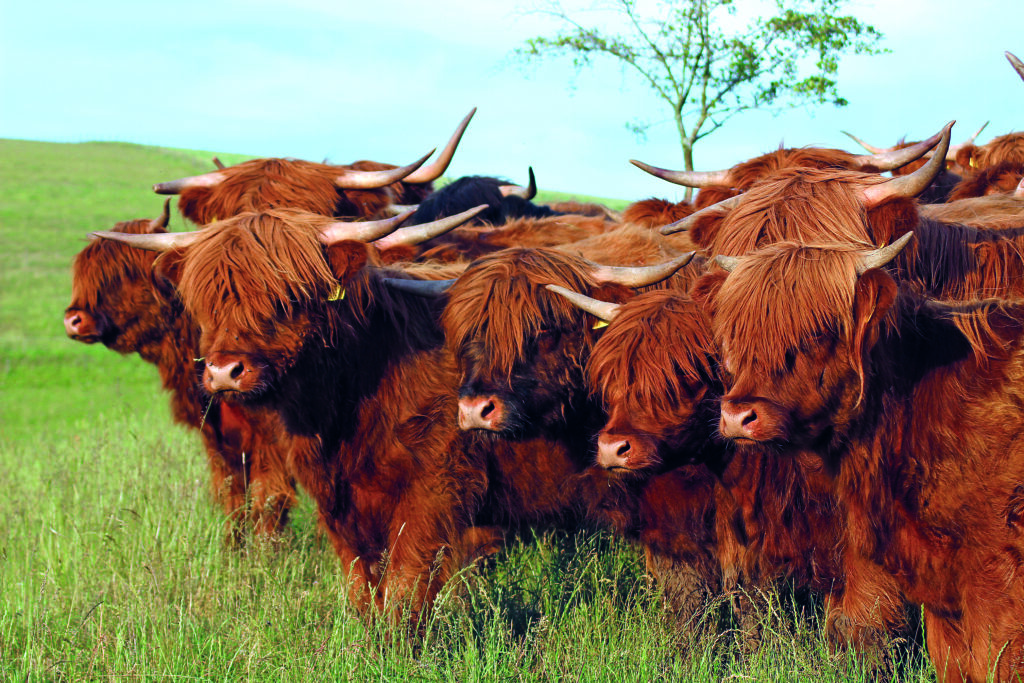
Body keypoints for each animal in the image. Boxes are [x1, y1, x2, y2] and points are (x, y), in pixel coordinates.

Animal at [66, 204, 294, 540]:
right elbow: (233, 498)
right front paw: (231, 549)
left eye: (124, 272)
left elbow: (269, 503)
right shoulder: (218, 440)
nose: (73, 320)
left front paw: (267, 553)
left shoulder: (270, 442)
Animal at [704, 237, 1024, 679]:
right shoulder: (941, 594)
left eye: (817, 333)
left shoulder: (997, 575)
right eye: (737, 337)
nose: (737, 416)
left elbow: (996, 663)